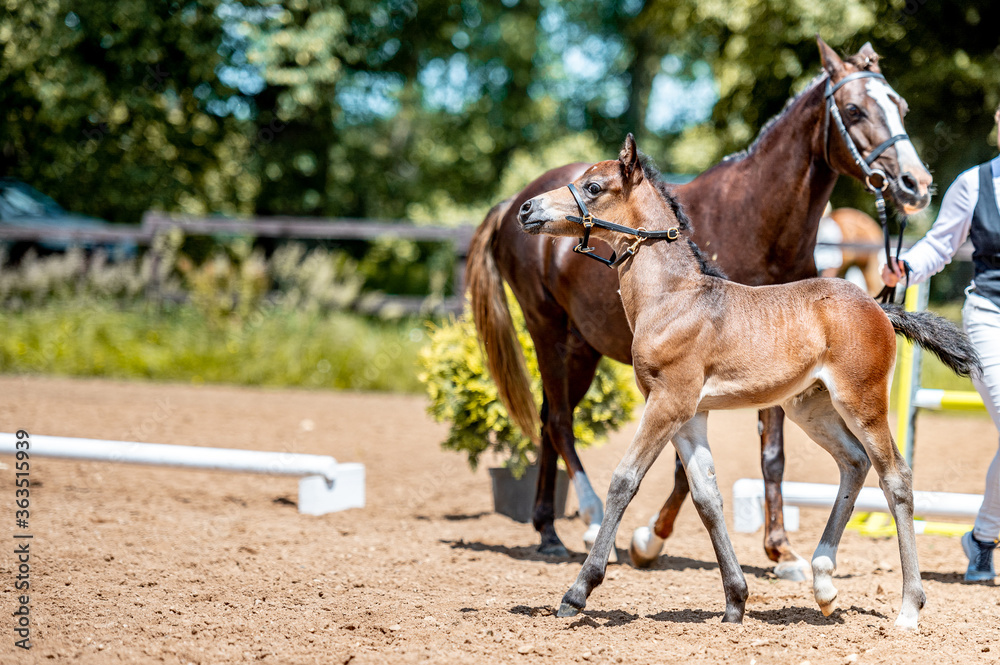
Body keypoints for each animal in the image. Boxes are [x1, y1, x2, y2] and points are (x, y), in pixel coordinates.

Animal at [466, 38, 932, 579]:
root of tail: (510, 201)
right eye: (854, 109)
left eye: (900, 106)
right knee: (559, 419)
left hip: (583, 347)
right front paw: (649, 540)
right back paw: (578, 519)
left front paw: (780, 551)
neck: (759, 220)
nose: (915, 184)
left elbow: (770, 455)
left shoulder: (764, 370)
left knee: (548, 420)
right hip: (548, 331)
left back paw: (549, 527)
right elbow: (684, 471)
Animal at [516, 134, 980, 629]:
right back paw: (823, 583)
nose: (526, 209)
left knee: (896, 478)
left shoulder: (668, 403)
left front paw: (578, 592)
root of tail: (879, 306)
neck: (673, 298)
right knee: (854, 463)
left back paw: (909, 606)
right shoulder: (689, 415)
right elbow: (706, 497)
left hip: (863, 402)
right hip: (809, 407)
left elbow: (625, 480)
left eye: (594, 186)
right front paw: (736, 601)